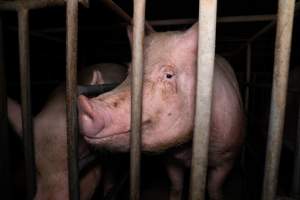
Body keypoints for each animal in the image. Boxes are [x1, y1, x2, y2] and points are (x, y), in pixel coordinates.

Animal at [77, 23, 244, 200]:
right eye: (129, 73)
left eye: (168, 75)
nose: (84, 104)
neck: (190, 150)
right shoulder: (170, 159)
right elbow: (176, 186)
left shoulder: (229, 156)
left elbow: (214, 188)